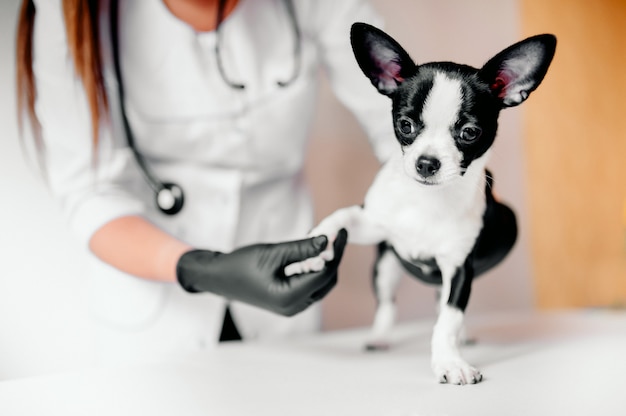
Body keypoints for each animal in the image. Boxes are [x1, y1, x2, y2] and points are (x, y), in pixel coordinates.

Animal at [286, 23, 552, 386]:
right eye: (405, 125)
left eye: (470, 132)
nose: (427, 163)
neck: (428, 200)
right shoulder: (373, 223)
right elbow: (339, 217)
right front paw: (311, 252)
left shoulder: (458, 268)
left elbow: (449, 320)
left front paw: (450, 362)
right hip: (385, 265)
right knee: (387, 303)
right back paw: (380, 337)